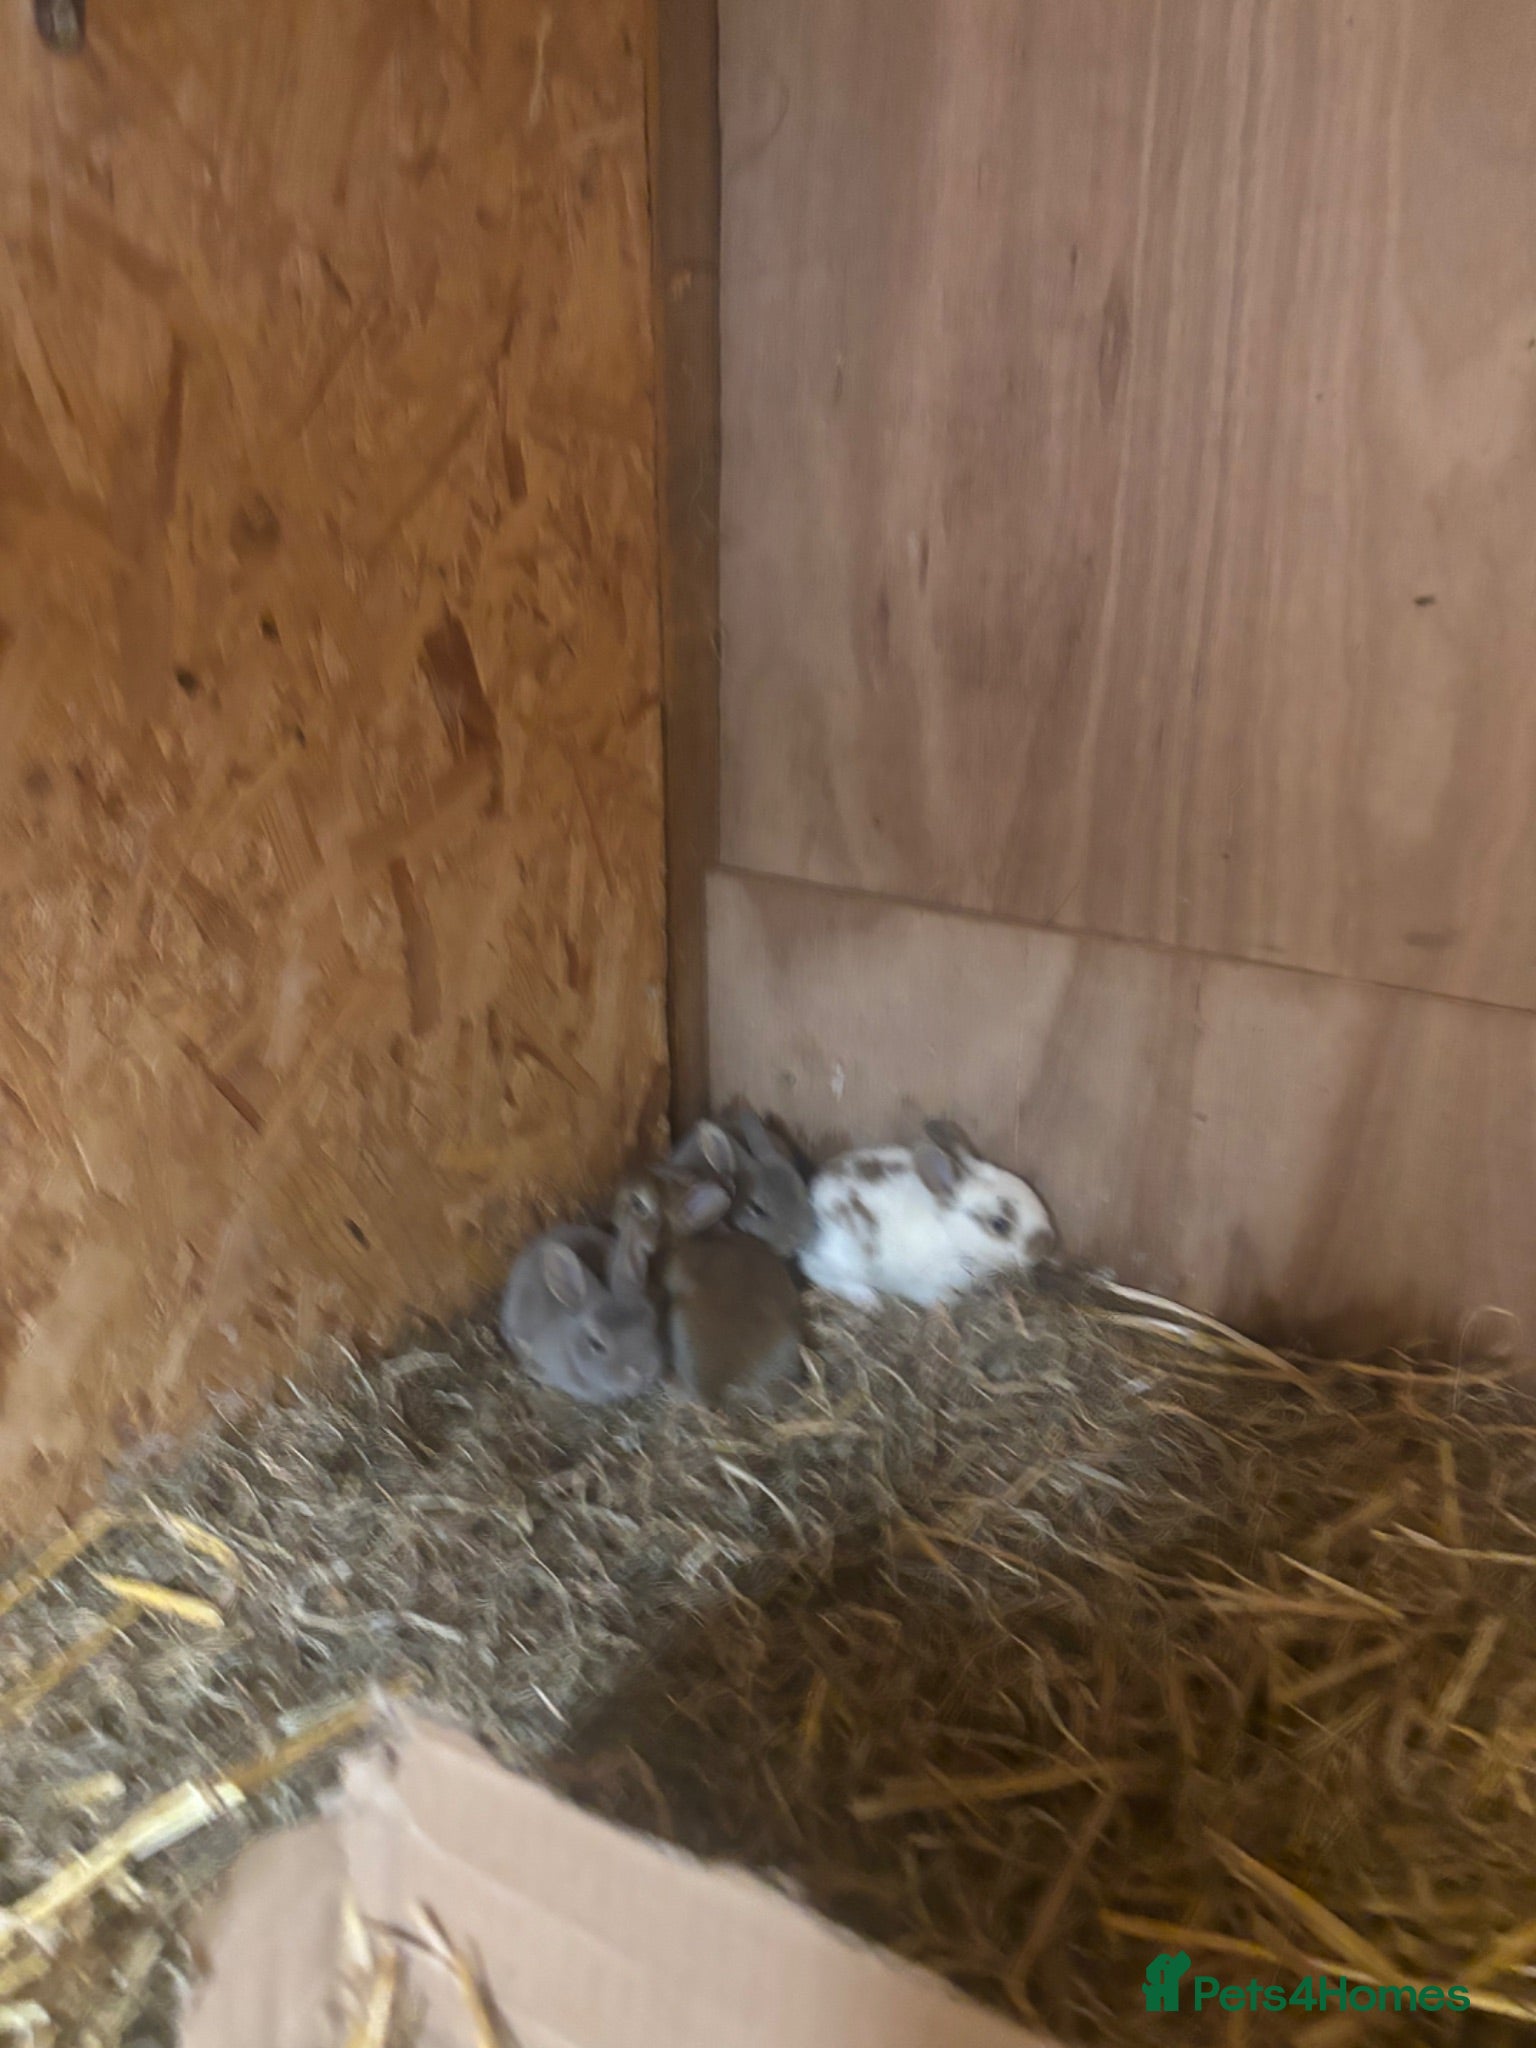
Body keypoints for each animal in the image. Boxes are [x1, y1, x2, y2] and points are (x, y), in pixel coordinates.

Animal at [799, 1118, 1055, 1309]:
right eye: (999, 1224)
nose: (1044, 1246)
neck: (951, 1236)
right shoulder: (921, 1283)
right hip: (847, 1258)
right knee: (817, 1271)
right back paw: (867, 1299)